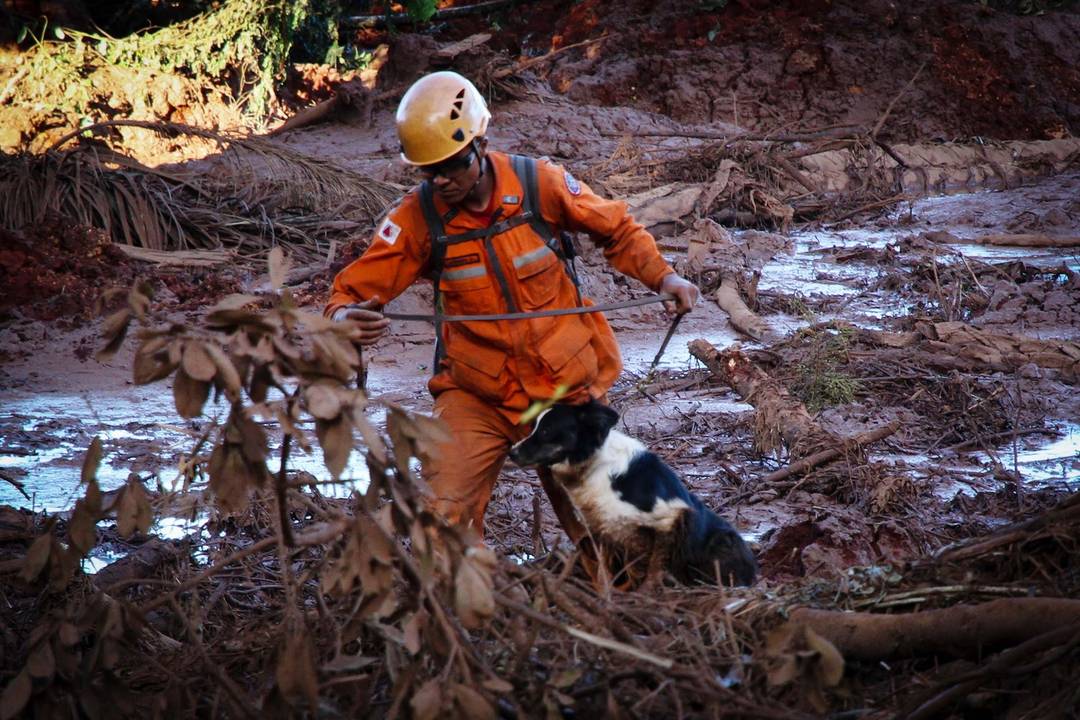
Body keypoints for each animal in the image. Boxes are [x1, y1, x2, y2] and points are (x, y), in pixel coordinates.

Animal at [509, 399, 756, 587]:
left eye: (546, 431)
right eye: (534, 427)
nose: (511, 452)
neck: (597, 464)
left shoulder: (669, 517)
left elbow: (652, 568)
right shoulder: (603, 527)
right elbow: (610, 570)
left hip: (722, 539)